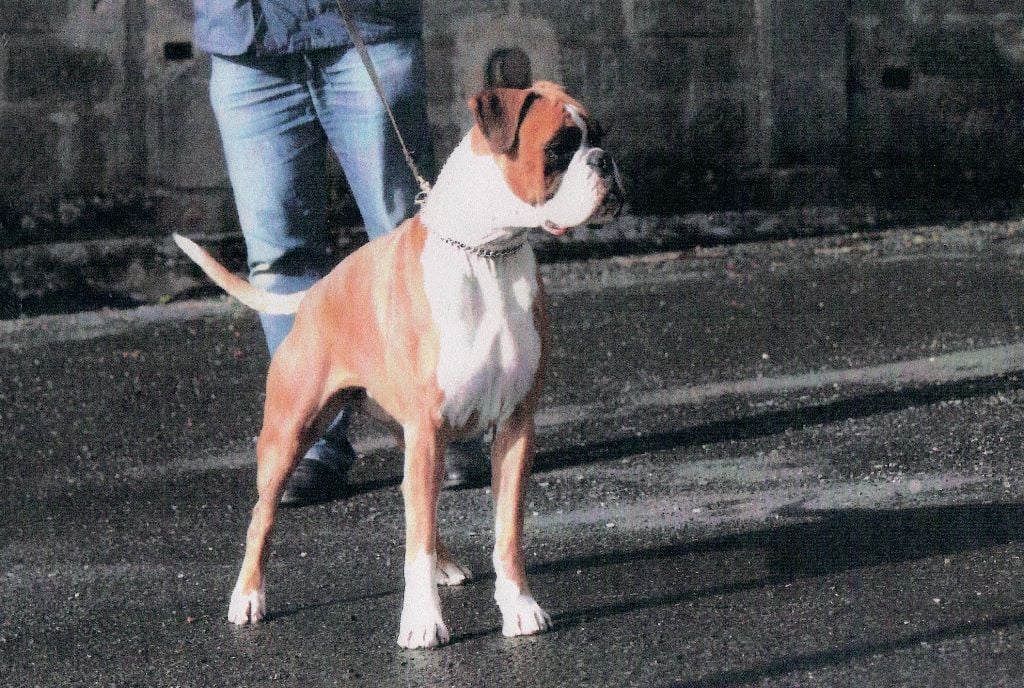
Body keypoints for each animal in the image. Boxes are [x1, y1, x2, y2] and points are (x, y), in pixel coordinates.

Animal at [175, 83, 618, 647]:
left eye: (599, 135)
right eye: (560, 147)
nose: (606, 160)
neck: (487, 252)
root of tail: (314, 293)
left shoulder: (514, 428)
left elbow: (506, 531)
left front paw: (518, 607)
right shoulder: (429, 428)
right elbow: (417, 543)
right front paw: (423, 621)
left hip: (408, 435)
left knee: (417, 505)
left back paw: (446, 564)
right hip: (290, 435)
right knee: (264, 515)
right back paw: (248, 596)